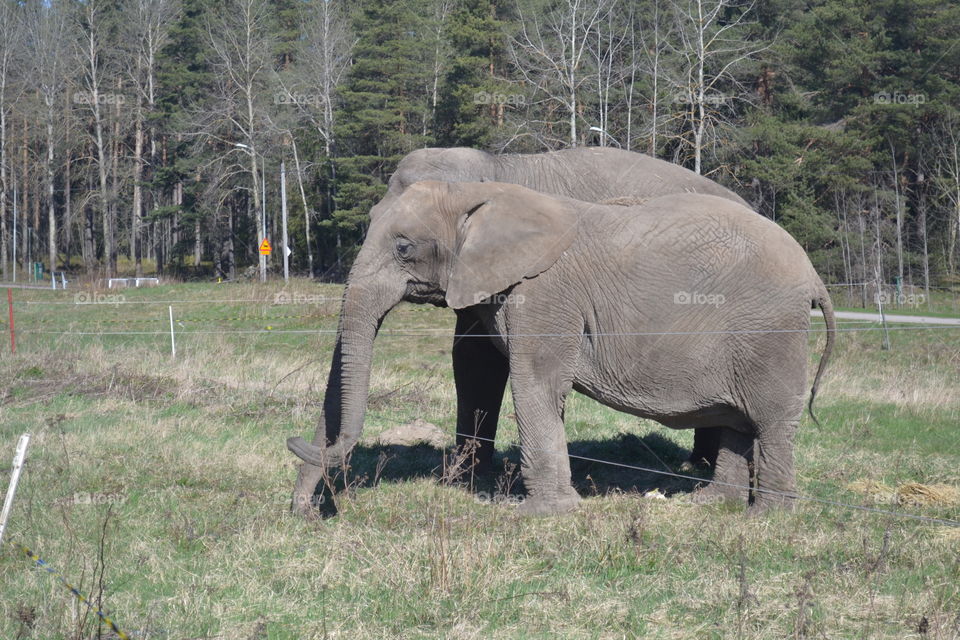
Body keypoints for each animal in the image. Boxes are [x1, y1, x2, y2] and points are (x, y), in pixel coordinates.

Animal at [288, 181, 836, 515]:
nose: (307, 513)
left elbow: (538, 382)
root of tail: (814, 277)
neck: (480, 194)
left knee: (769, 420)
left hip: (770, 331)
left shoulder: (546, 294)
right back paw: (710, 505)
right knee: (736, 422)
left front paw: (537, 514)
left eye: (403, 247)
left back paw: (766, 516)